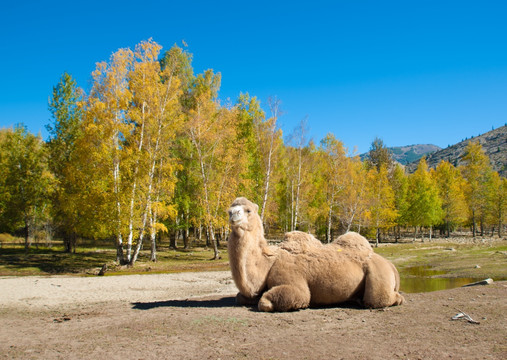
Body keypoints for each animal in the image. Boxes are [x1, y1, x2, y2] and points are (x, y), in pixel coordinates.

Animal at [226, 197, 404, 312]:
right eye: (230, 209)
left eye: (248, 210)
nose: (232, 213)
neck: (269, 261)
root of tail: (391, 265)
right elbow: (239, 296)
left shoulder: (293, 282)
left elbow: (266, 302)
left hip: (378, 274)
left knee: (380, 299)